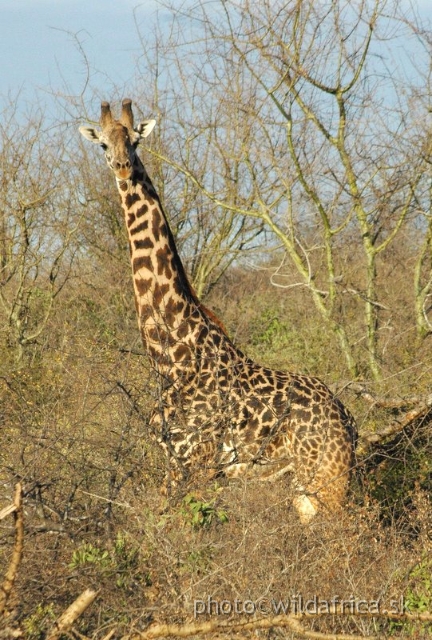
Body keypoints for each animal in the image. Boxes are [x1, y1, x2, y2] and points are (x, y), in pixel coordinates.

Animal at [79, 99, 356, 520]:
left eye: (135, 141)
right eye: (103, 145)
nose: (123, 168)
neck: (172, 356)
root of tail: (348, 420)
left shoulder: (197, 462)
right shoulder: (175, 462)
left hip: (328, 478)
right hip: (302, 487)